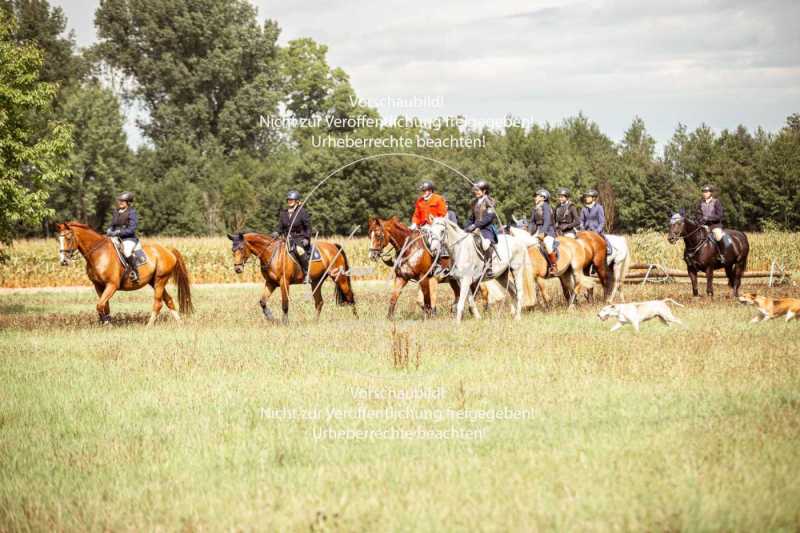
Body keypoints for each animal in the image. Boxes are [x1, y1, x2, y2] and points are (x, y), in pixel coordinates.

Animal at [55, 220, 193, 324]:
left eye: (68, 238)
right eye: (58, 240)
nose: (63, 261)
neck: (99, 253)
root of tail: (168, 251)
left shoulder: (112, 285)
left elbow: (100, 305)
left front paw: (107, 323)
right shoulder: (99, 286)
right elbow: (104, 306)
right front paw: (106, 322)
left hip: (160, 280)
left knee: (158, 303)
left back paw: (149, 325)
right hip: (154, 282)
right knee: (169, 300)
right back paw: (180, 323)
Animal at [230, 232, 358, 322]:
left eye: (241, 248)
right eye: (232, 250)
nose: (237, 269)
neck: (272, 253)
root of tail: (333, 246)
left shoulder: (284, 282)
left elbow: (285, 303)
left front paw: (285, 322)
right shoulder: (270, 283)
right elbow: (262, 301)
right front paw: (270, 317)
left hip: (339, 277)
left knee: (350, 295)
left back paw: (355, 318)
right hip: (316, 282)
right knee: (319, 302)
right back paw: (315, 322)